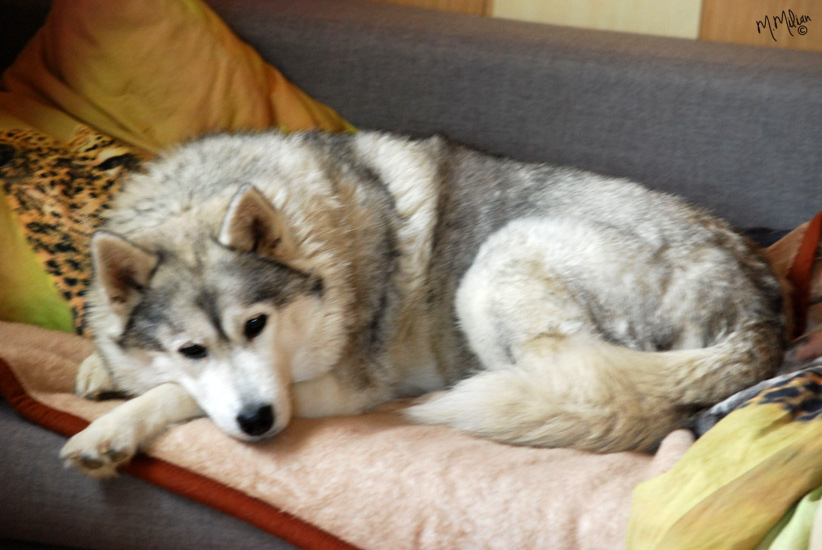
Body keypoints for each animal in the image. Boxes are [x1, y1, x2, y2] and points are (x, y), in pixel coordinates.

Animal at [60, 130, 786, 477]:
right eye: (191, 348)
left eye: (256, 325)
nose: (259, 422)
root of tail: (760, 312)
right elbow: (136, 367)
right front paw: (99, 371)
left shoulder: (340, 388)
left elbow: (173, 398)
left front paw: (109, 431)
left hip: (496, 268)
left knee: (583, 394)